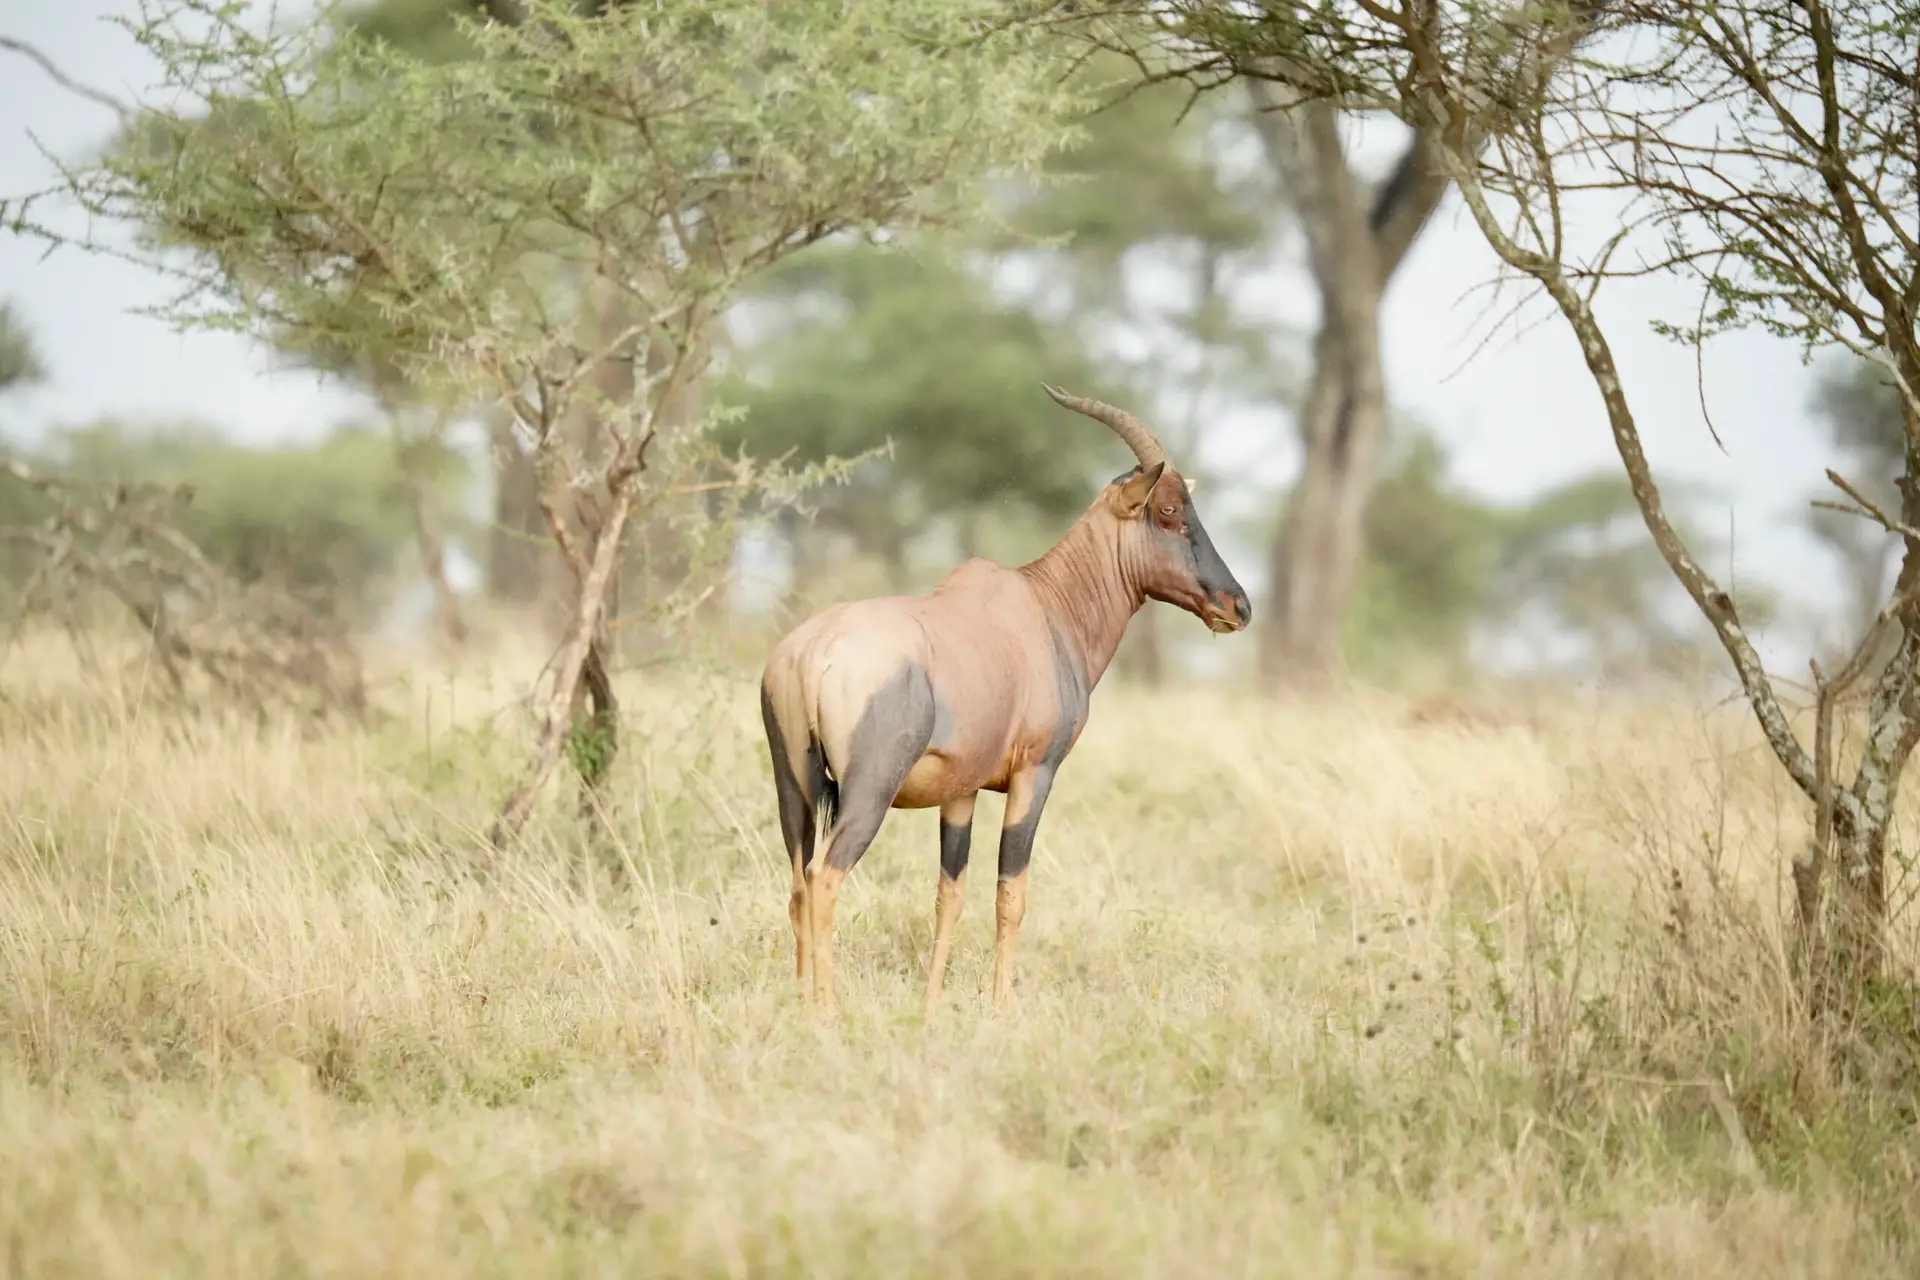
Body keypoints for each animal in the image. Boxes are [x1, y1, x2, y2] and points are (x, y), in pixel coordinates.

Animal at [758, 386, 1252, 1014]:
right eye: (1168, 511)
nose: (1238, 605)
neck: (1043, 604)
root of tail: (810, 654)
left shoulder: (960, 791)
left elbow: (950, 894)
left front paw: (931, 1006)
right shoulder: (1034, 774)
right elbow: (1011, 894)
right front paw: (1002, 1008)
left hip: (792, 786)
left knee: (798, 884)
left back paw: (799, 1003)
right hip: (868, 792)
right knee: (824, 880)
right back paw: (827, 1007)